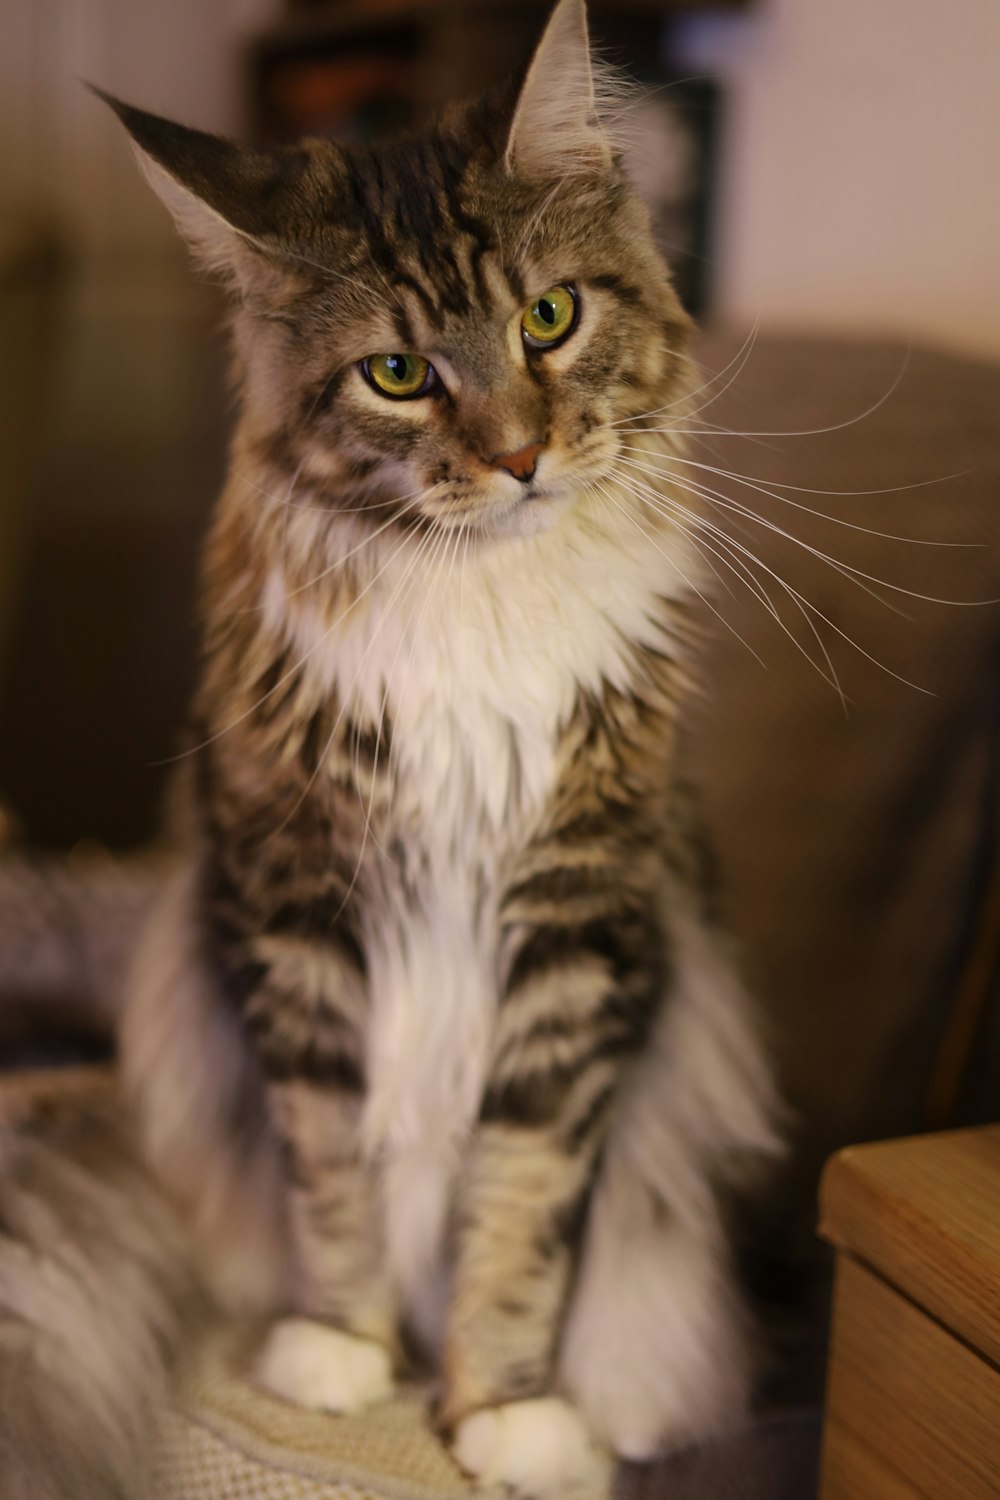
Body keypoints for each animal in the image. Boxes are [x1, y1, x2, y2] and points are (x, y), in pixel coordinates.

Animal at [0, 2, 779, 1500]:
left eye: (549, 317)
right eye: (399, 376)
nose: (524, 456)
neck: (474, 601)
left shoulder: (581, 931)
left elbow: (526, 1202)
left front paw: (503, 1412)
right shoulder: (295, 913)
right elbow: (334, 1175)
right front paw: (342, 1350)